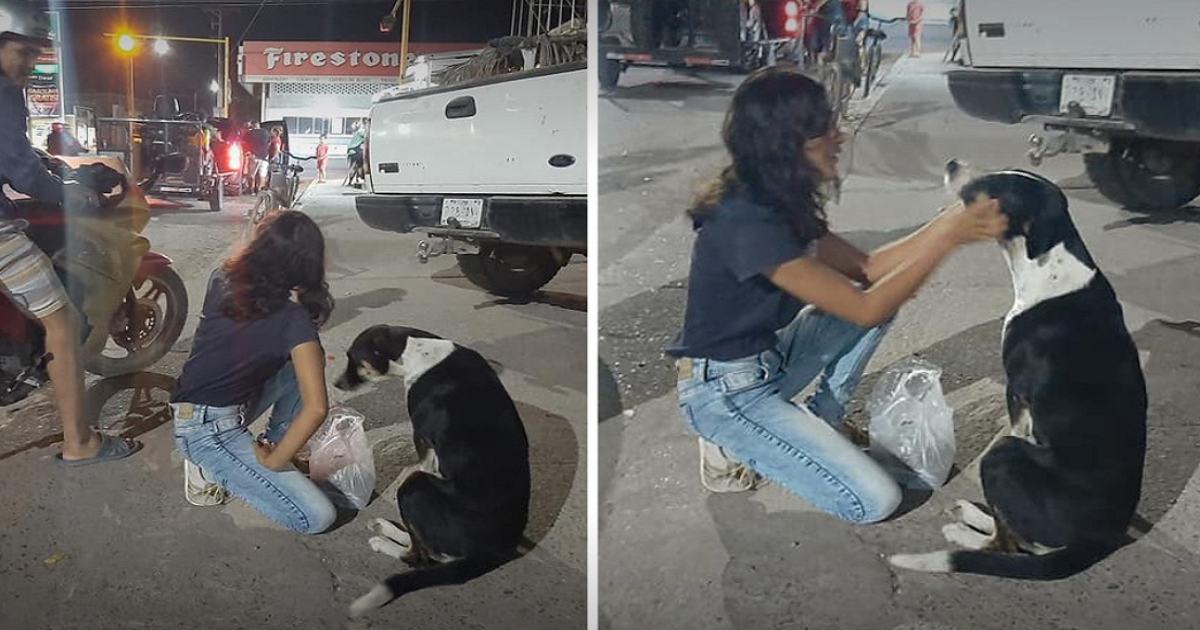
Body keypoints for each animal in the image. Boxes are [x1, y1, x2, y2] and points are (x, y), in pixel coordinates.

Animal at [333, 324, 530, 614]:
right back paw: (386, 528)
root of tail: (495, 551)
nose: (335, 384)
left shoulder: (423, 438)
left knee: (419, 556)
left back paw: (383, 540)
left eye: (354, 360)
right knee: (423, 546)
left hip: (414, 486)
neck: (417, 351)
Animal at [888, 160, 1147, 580]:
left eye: (994, 187)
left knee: (1008, 541)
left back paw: (966, 530)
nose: (952, 164)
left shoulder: (1017, 394)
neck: (1048, 263)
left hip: (1003, 457)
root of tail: (1099, 538)